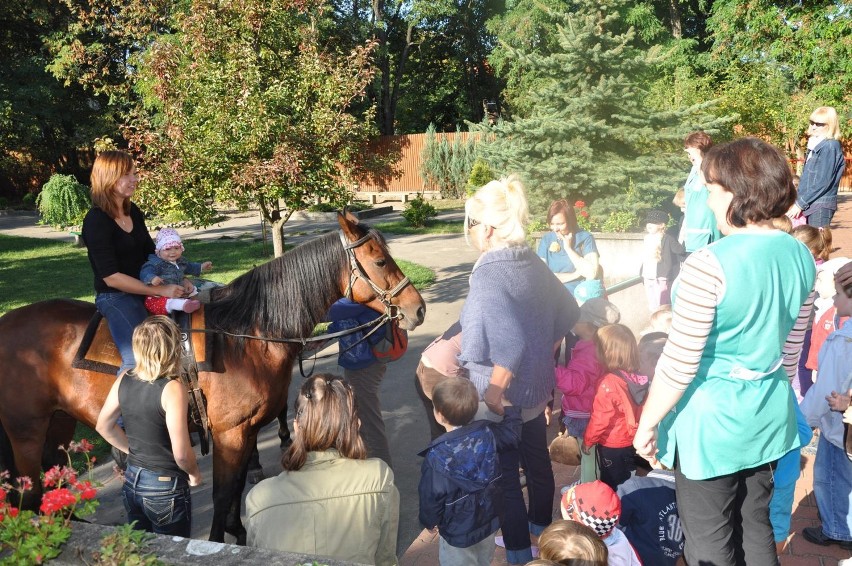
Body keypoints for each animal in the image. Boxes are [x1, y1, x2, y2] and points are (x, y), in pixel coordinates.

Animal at [0, 214, 426, 544]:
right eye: (381, 261)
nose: (417, 308)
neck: (247, 336)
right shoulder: (229, 432)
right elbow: (222, 494)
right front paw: (222, 539)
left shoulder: (247, 430)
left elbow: (236, 488)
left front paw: (238, 531)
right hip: (26, 431)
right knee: (32, 494)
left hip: (57, 424)